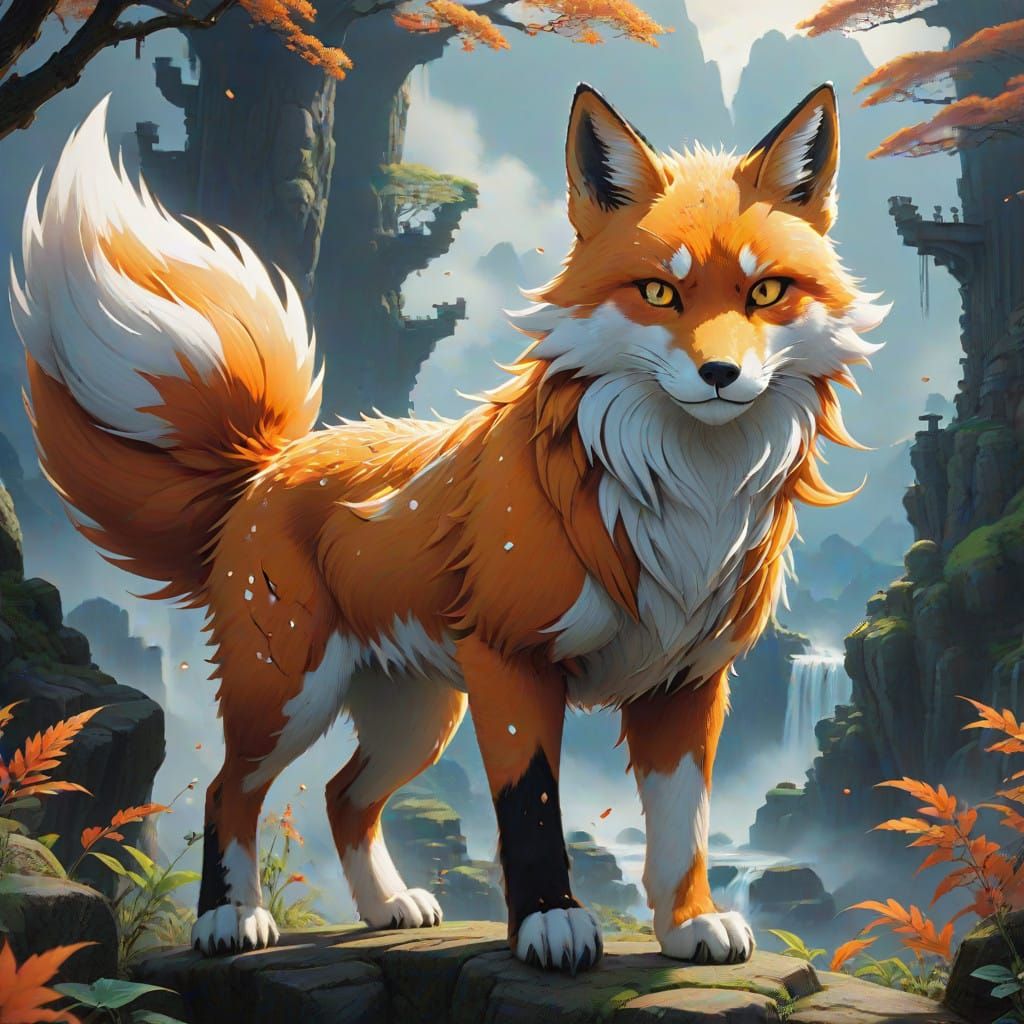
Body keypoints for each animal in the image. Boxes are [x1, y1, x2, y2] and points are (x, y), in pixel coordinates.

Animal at [11, 82, 885, 972]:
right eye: (660, 293)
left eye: (765, 293)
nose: (720, 374)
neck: (682, 500)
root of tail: (267, 463)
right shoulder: (511, 662)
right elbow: (531, 805)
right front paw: (550, 923)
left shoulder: (688, 680)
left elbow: (685, 827)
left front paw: (688, 926)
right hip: (290, 692)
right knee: (232, 788)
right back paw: (230, 919)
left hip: (418, 719)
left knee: (343, 795)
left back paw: (385, 907)